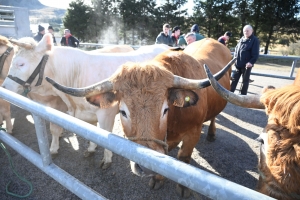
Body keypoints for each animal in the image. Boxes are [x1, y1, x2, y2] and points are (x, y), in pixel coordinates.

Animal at [1, 32, 170, 169]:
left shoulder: (106, 113)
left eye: (21, 63)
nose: (4, 87)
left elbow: (105, 136)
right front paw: (90, 149)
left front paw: (107, 160)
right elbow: (89, 132)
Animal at [45, 38, 236, 197]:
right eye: (123, 112)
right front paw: (158, 179)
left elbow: (184, 157)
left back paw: (211, 133)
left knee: (214, 117)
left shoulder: (192, 133)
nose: (145, 166)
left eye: (165, 109)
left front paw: (183, 188)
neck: (173, 123)